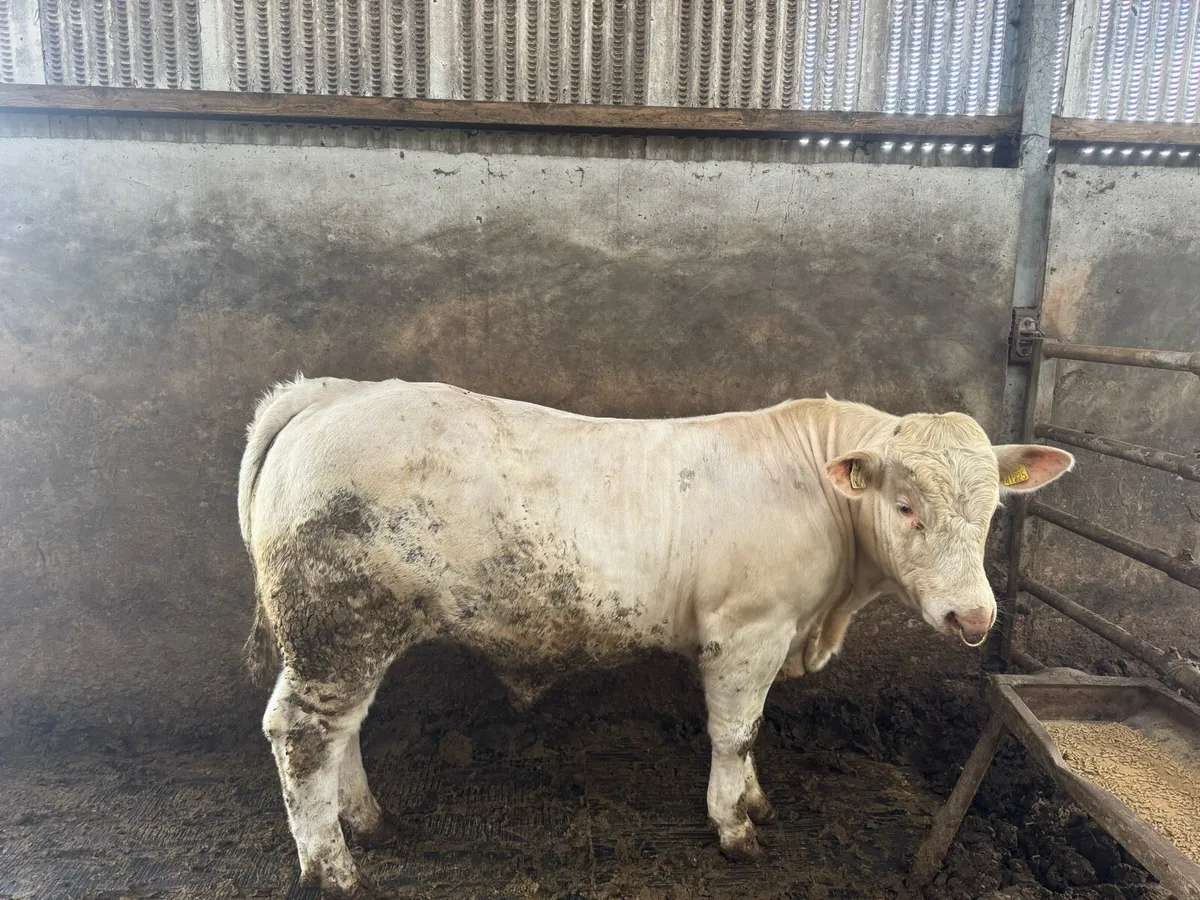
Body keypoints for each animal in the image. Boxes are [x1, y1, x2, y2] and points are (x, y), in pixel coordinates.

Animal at [237, 375, 1073, 898]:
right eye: (904, 506)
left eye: (993, 509)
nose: (973, 617)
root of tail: (336, 392)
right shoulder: (745, 629)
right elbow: (737, 731)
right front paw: (735, 827)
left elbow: (752, 732)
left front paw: (756, 801)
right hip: (336, 624)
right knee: (300, 733)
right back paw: (333, 869)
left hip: (345, 636)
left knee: (342, 732)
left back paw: (369, 823)